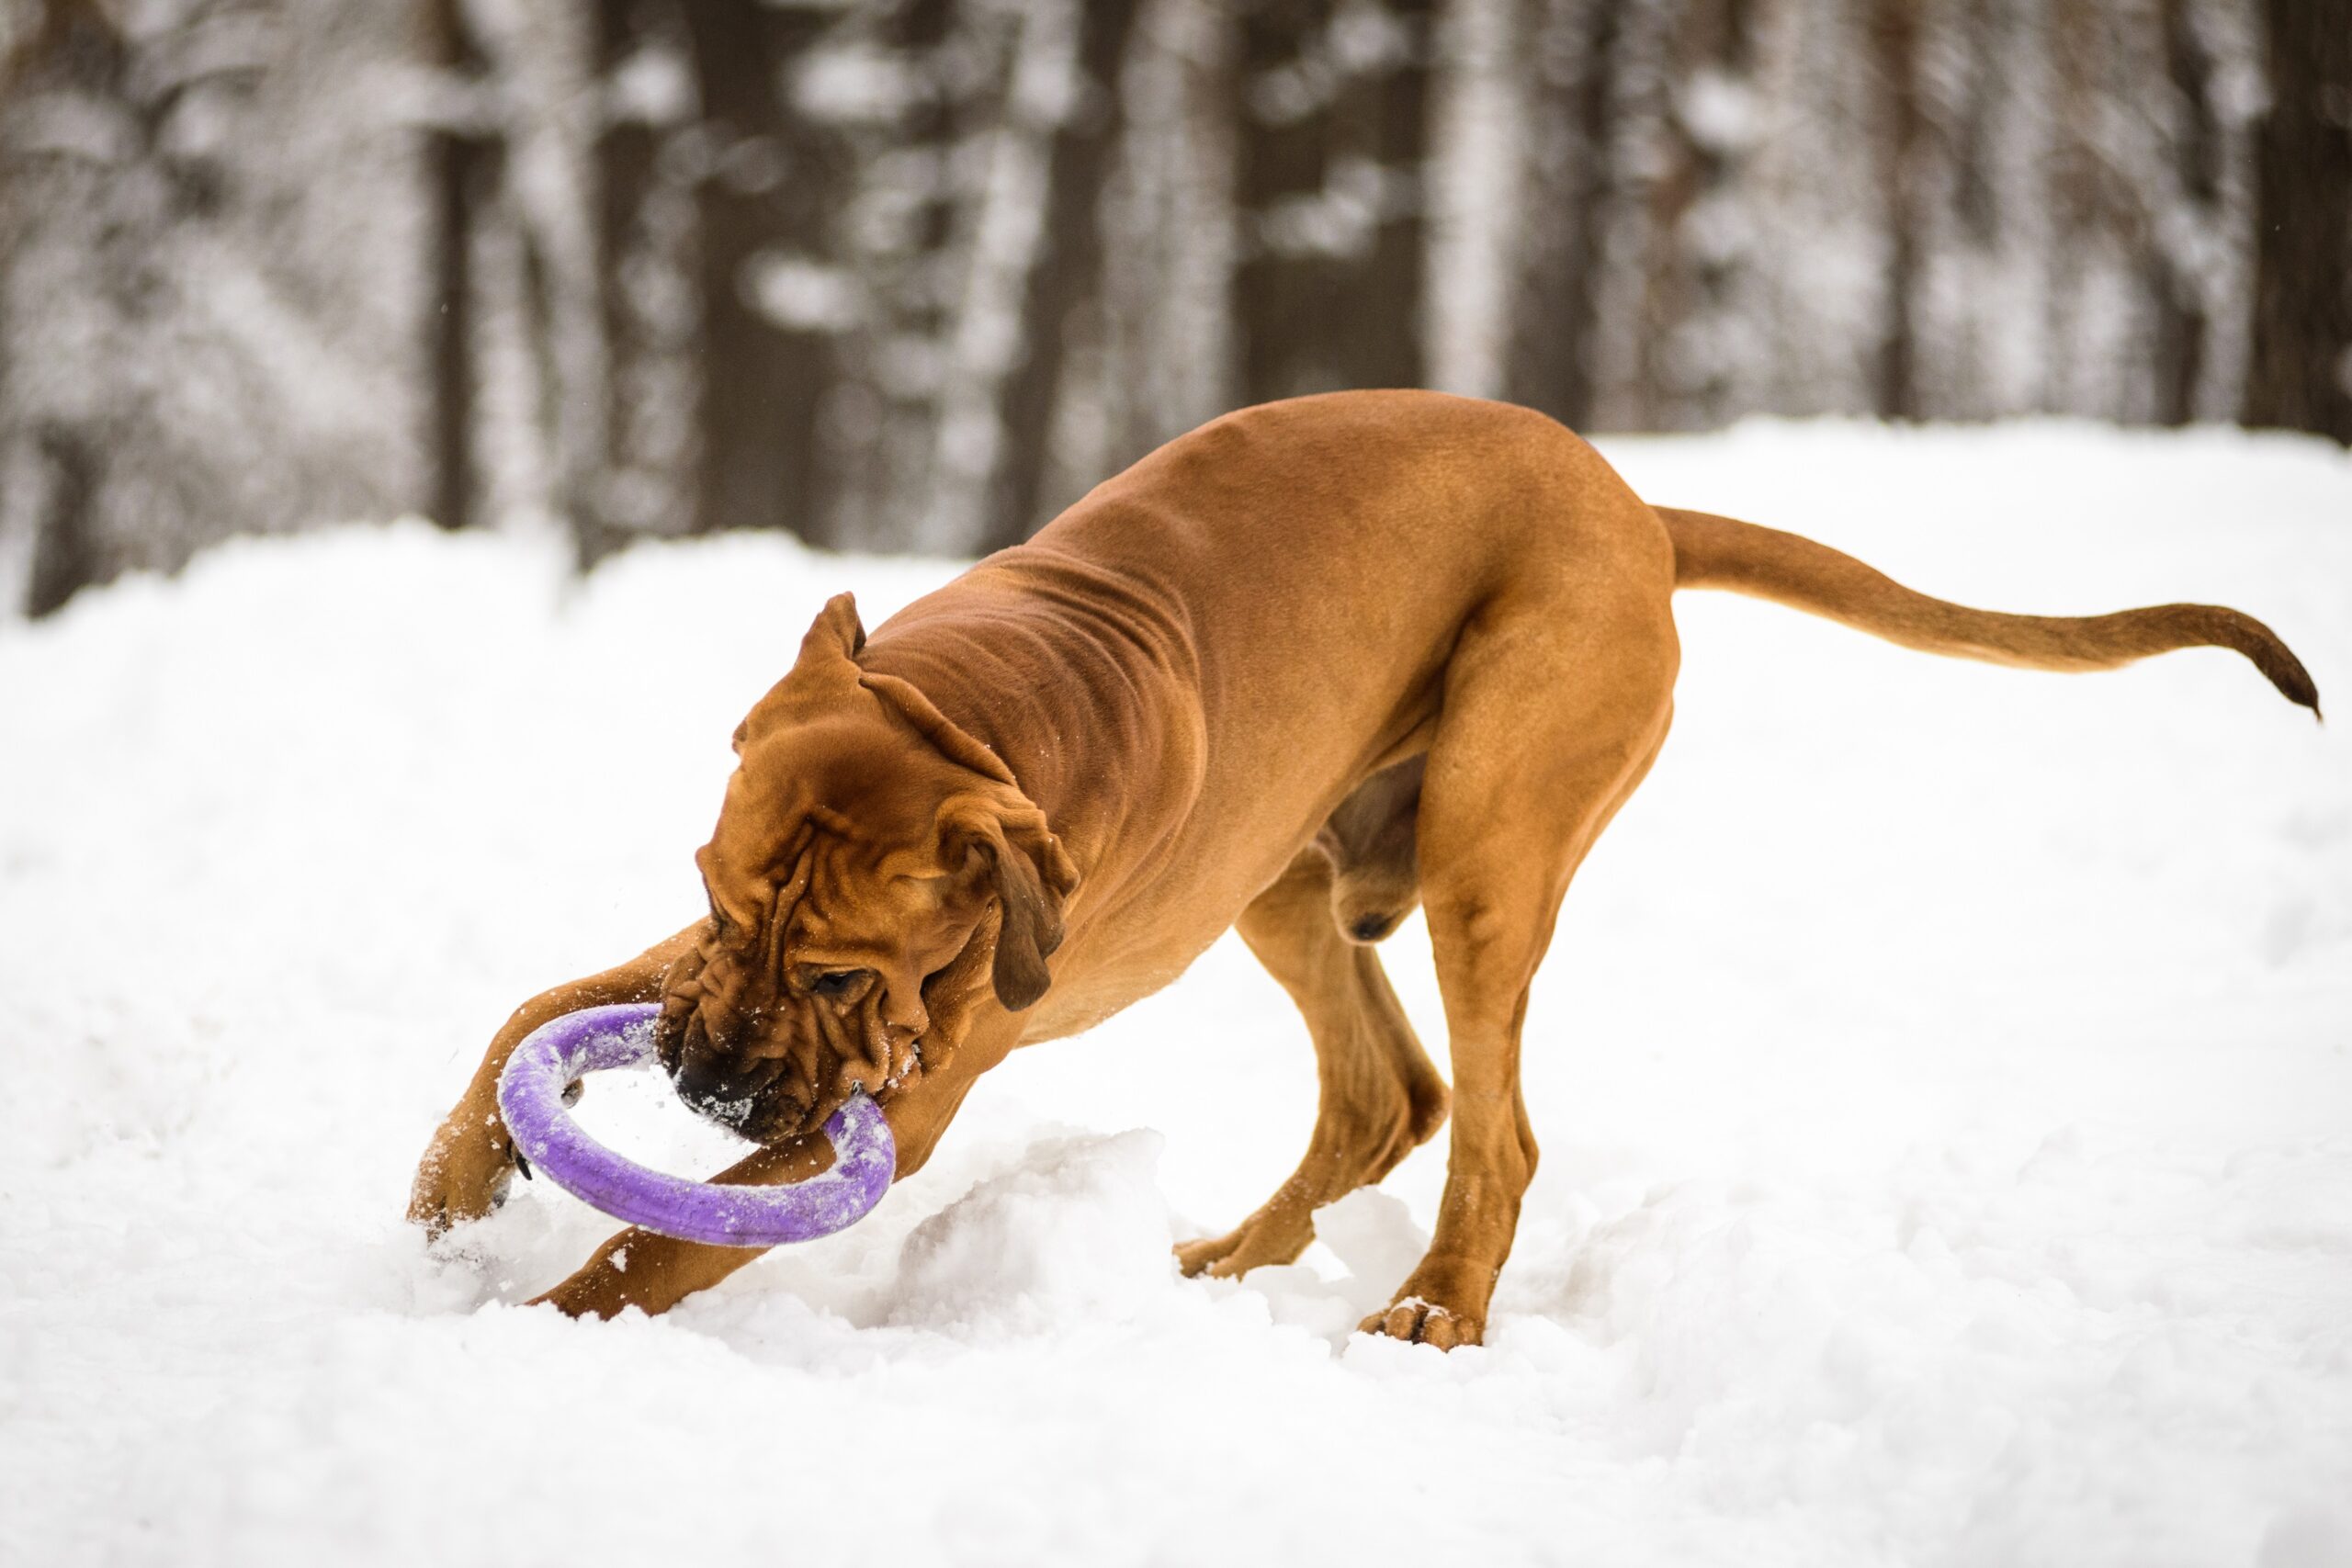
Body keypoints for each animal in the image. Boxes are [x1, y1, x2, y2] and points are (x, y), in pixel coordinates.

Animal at [409, 389, 2314, 1354]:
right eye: (731, 907)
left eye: (841, 977)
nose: (714, 1086)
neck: (980, 711)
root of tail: (1638, 512)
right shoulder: (687, 956)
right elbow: (524, 1008)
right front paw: (450, 1193)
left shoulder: (916, 1086)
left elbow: (654, 1252)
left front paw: (533, 1331)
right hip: (1291, 878)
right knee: (1386, 1093)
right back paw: (1214, 1272)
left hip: (1487, 844)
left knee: (1491, 1127)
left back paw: (1434, 1309)